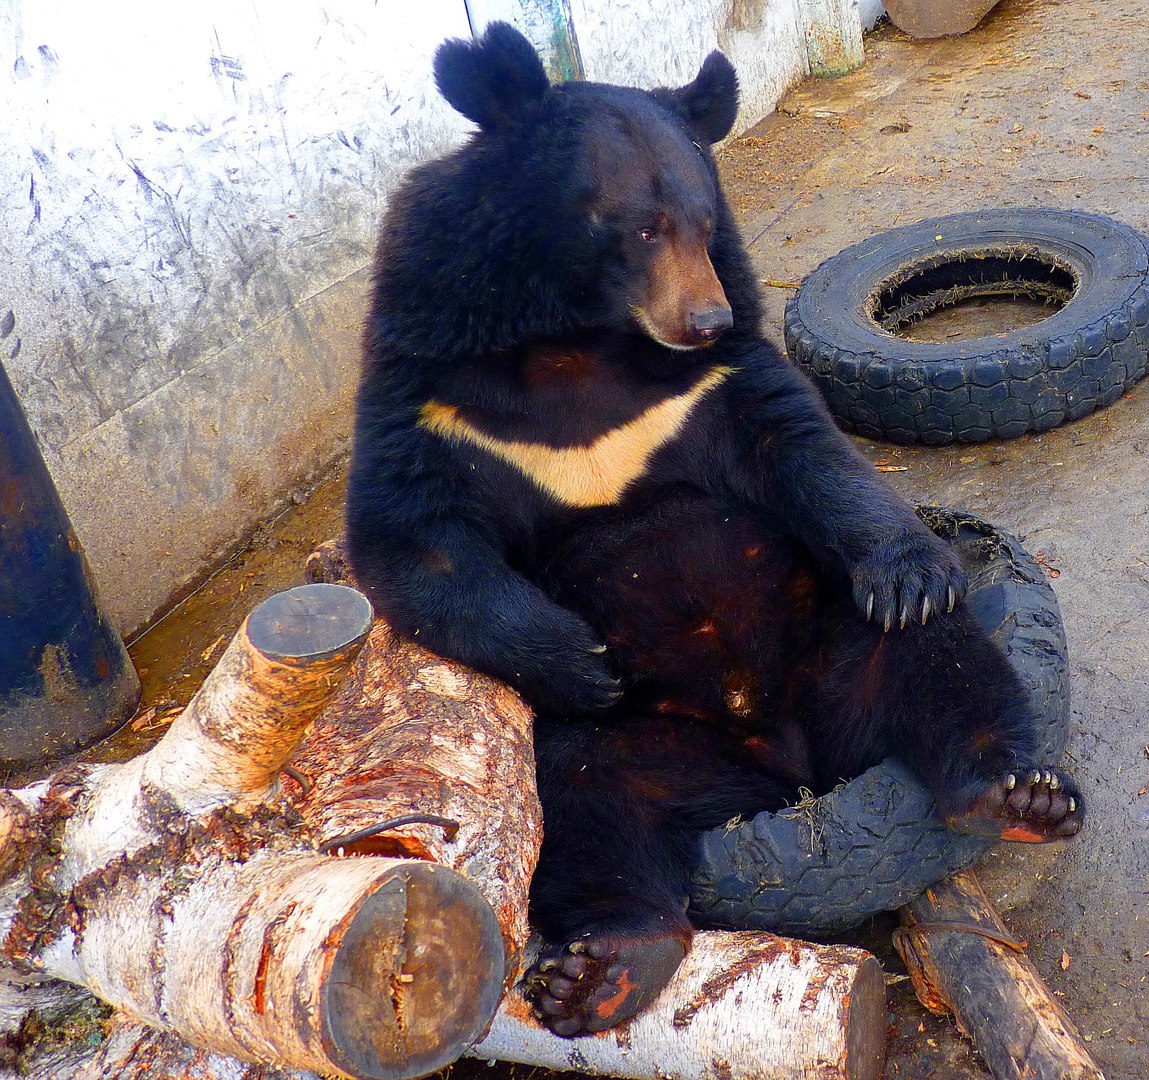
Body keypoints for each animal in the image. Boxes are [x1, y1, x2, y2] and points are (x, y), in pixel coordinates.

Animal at [345, 23, 1084, 1038]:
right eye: (637, 225)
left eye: (704, 220)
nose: (703, 317)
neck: (575, 338)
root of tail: (787, 768)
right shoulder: (430, 389)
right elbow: (411, 539)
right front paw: (574, 655)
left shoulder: (709, 386)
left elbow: (802, 446)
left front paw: (909, 570)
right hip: (630, 743)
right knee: (588, 808)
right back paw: (606, 965)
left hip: (834, 640)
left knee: (941, 664)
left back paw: (1018, 793)